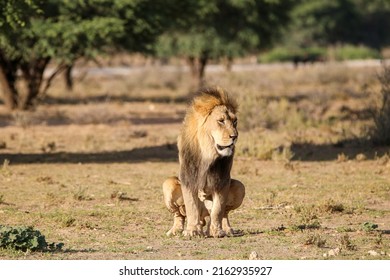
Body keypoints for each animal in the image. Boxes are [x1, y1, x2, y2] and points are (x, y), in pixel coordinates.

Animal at [163, 86, 245, 237]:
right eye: (221, 121)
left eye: (235, 121)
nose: (235, 136)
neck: (208, 152)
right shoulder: (189, 178)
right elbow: (191, 207)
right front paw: (191, 231)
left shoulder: (221, 180)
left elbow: (218, 209)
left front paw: (217, 231)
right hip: (168, 184)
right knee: (180, 214)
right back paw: (176, 230)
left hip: (240, 186)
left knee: (224, 213)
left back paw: (225, 229)